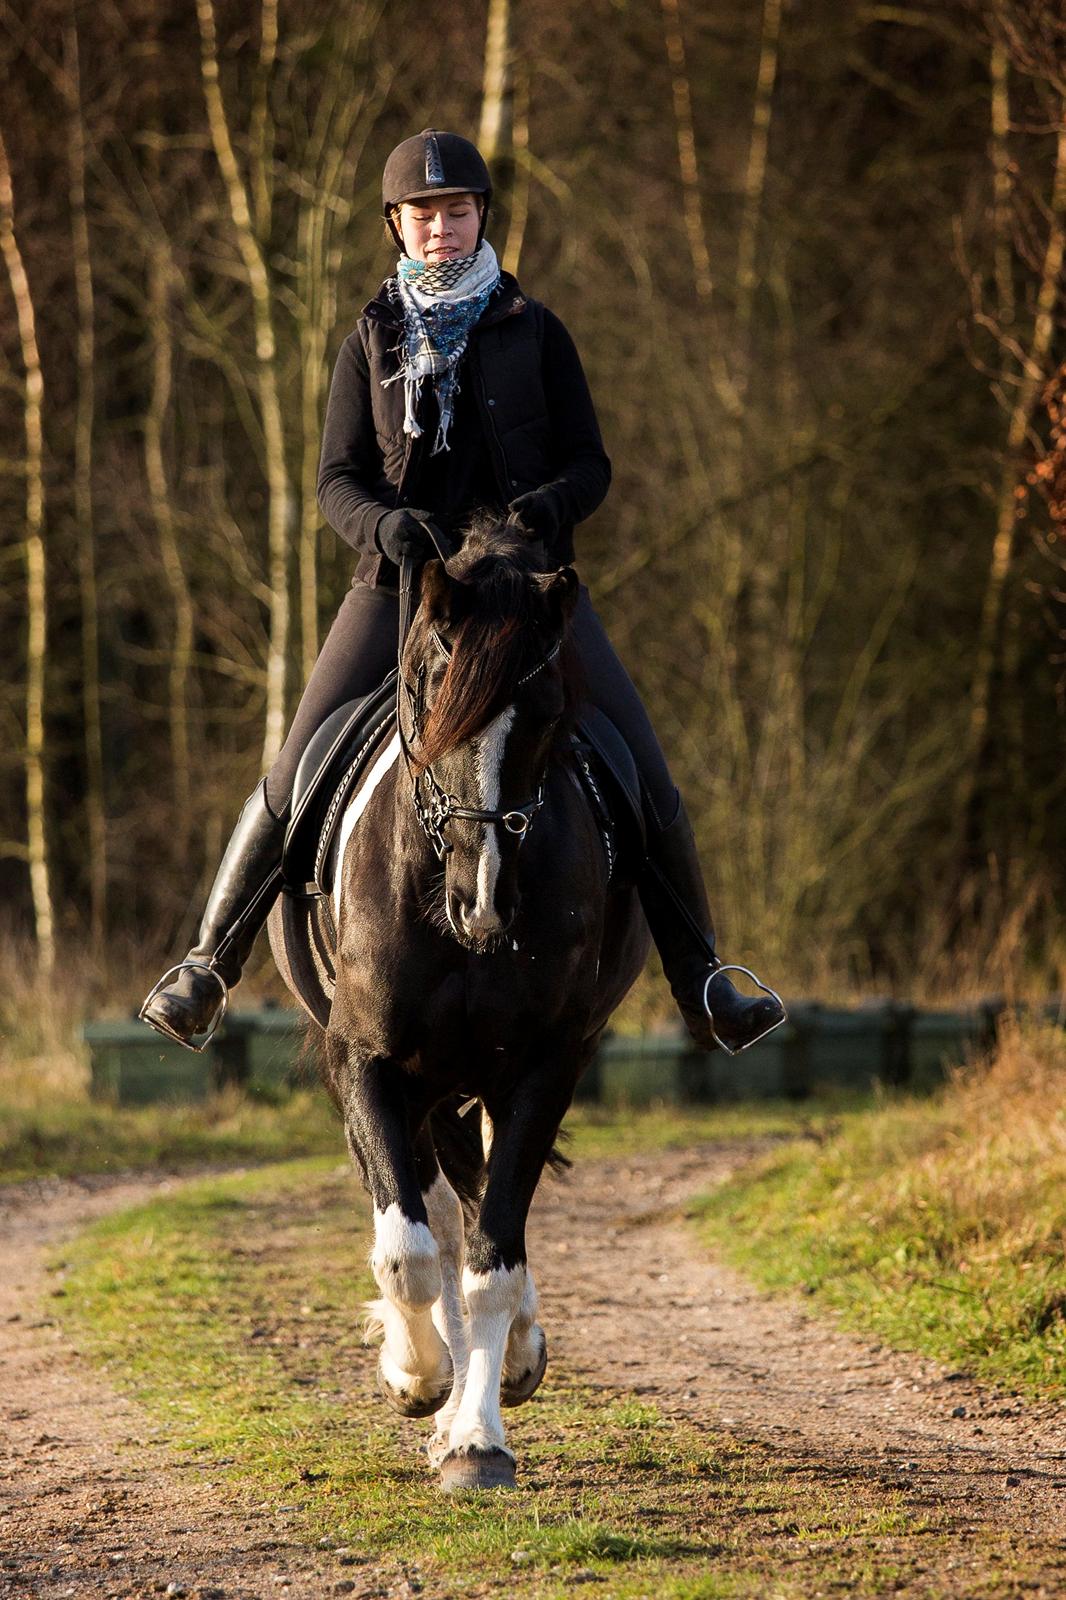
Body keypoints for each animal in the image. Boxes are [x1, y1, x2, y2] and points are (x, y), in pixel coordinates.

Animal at [265, 521, 646, 1484]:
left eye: (545, 710)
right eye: (428, 688)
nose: (483, 903)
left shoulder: (545, 1066)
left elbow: (493, 1252)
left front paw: (476, 1434)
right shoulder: (367, 1062)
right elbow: (408, 1251)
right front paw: (417, 1378)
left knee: (478, 1213)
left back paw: (507, 1361)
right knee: (428, 1212)